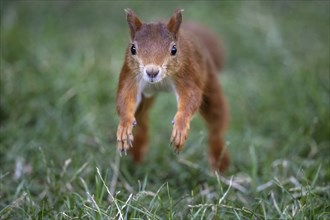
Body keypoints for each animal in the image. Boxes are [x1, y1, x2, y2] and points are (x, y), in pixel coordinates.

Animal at [116, 8, 229, 172]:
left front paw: (180, 127)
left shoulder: (187, 73)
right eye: (133, 49)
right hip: (145, 98)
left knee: (216, 125)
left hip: (210, 83)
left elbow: (191, 98)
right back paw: (137, 151)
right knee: (142, 120)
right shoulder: (131, 75)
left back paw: (219, 159)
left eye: (174, 49)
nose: (152, 72)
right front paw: (124, 125)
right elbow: (124, 97)